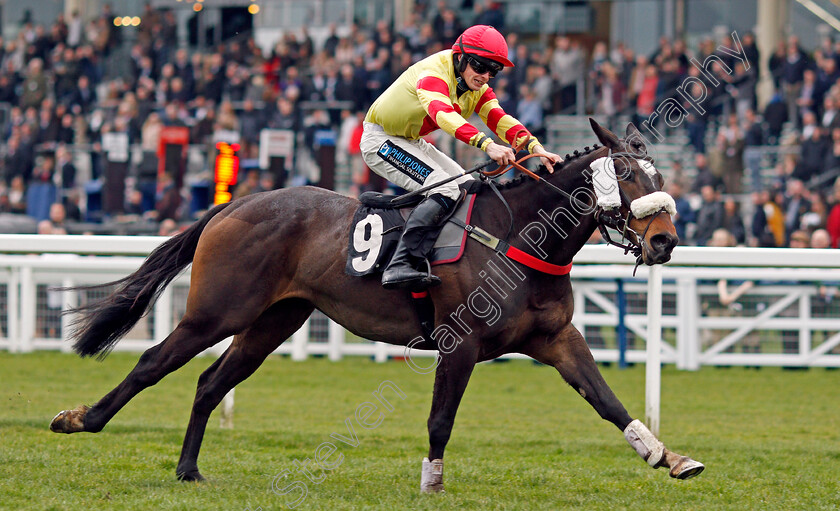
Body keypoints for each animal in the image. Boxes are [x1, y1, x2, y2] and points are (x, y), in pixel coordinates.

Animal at [50, 120, 704, 492]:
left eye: (660, 175)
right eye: (627, 173)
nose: (665, 241)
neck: (519, 237)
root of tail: (237, 203)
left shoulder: (555, 339)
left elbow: (608, 401)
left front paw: (669, 457)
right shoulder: (460, 344)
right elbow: (441, 419)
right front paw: (431, 483)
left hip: (273, 321)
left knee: (211, 383)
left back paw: (188, 470)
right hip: (217, 311)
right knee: (151, 364)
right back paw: (81, 418)